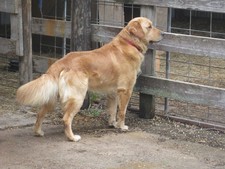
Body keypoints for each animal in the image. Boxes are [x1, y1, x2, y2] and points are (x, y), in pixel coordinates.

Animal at [16, 16, 163, 141]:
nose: (162, 34)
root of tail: (61, 62)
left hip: (52, 98)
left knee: (40, 113)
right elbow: (122, 112)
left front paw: (113, 124)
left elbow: (112, 110)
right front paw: (122, 126)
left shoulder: (113, 92)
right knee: (66, 118)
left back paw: (38, 132)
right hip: (77, 97)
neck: (129, 43)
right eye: (149, 26)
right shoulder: (125, 90)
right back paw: (72, 137)